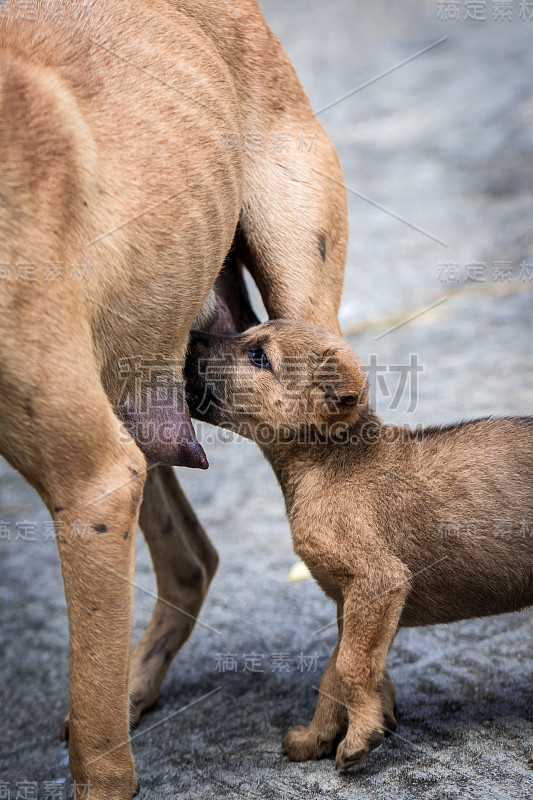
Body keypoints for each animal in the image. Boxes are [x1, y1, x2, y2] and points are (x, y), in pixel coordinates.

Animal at [0, 3, 350, 796]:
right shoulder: (100, 478)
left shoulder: (91, 482)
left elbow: (95, 746)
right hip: (128, 388)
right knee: (192, 559)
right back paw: (137, 683)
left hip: (294, 347)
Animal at [186, 322, 532, 772]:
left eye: (260, 356)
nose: (188, 337)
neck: (328, 461)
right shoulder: (347, 603)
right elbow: (332, 674)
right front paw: (316, 737)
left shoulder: (378, 583)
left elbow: (351, 668)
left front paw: (361, 736)